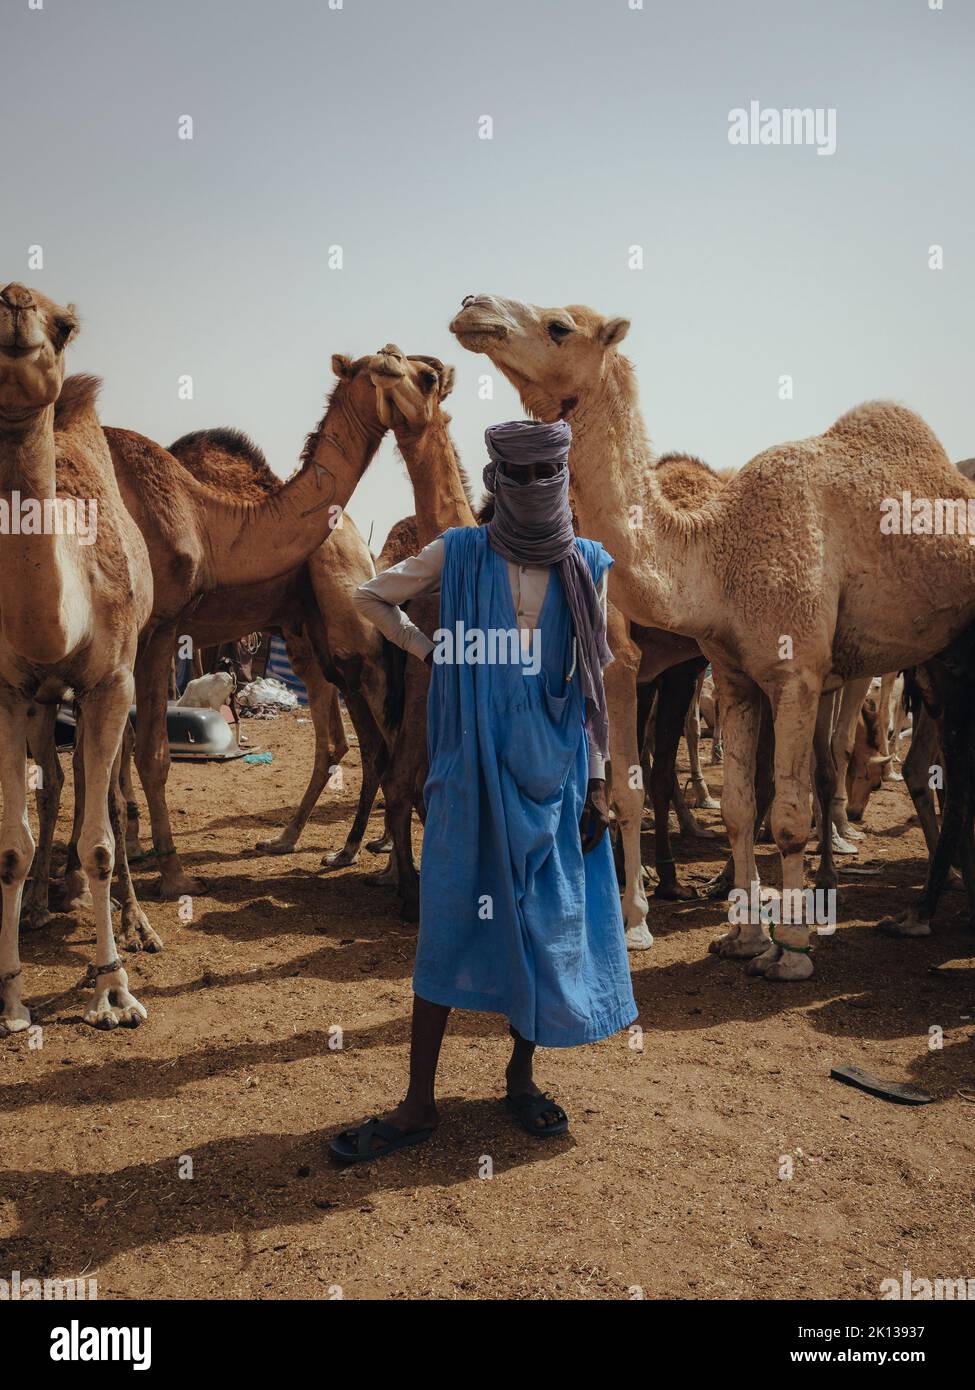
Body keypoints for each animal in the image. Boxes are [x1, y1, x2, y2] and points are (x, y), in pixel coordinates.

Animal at [450, 296, 975, 978]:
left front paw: (792, 950)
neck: (716, 553)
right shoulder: (732, 677)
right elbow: (738, 809)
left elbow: (787, 814)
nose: (472, 307)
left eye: (559, 326)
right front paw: (743, 937)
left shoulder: (796, 672)